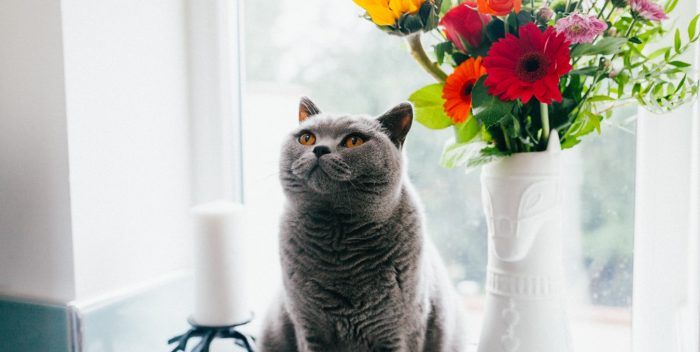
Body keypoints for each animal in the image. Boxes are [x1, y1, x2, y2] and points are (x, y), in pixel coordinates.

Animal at [260, 97, 468, 352]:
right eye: (307, 138)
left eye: (354, 141)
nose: (320, 149)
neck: (337, 234)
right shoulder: (308, 328)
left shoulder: (400, 331)